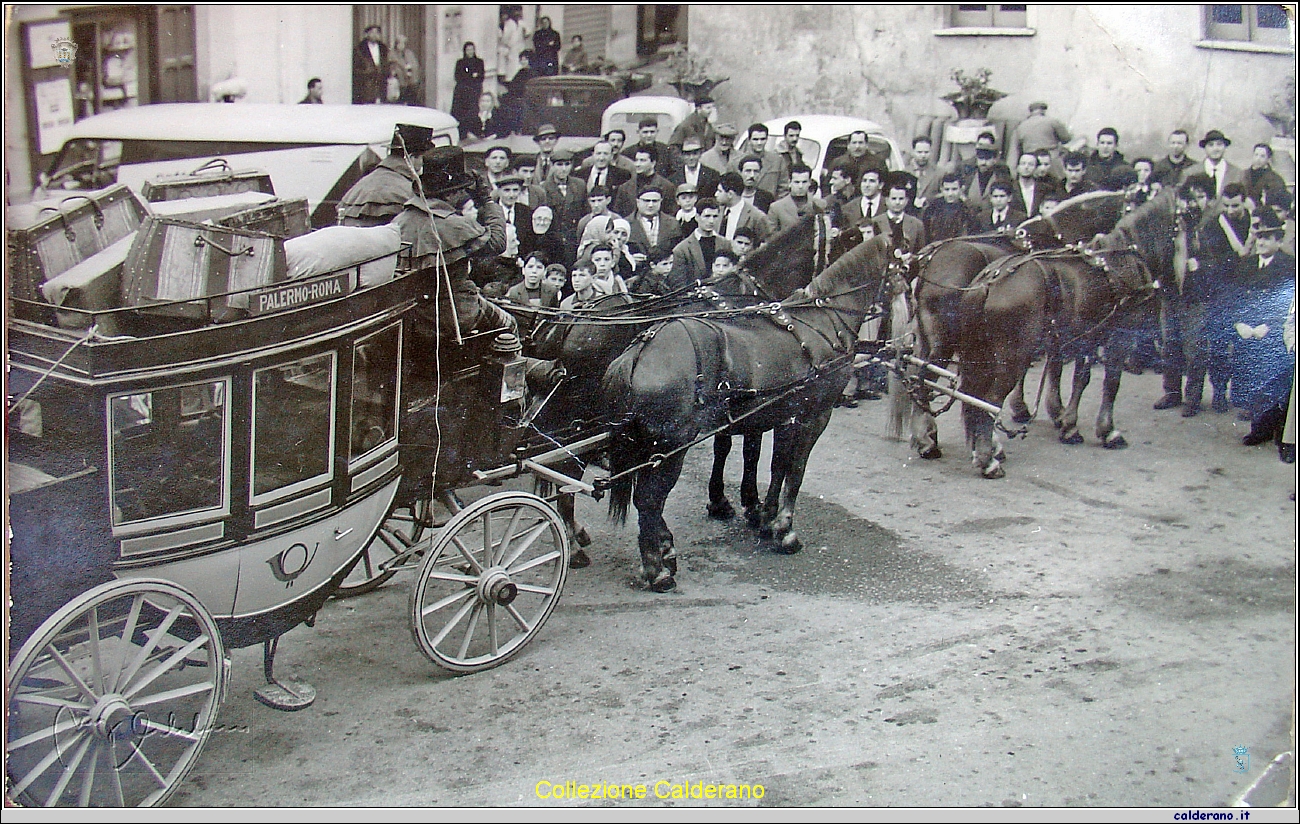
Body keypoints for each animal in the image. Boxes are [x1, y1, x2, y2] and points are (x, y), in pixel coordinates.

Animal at [600, 233, 894, 587]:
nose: (889, 319)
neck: (821, 320)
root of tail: (640, 349)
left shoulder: (783, 418)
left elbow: (777, 467)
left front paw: (765, 519)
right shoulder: (814, 416)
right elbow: (795, 472)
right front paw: (785, 531)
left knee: (648, 503)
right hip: (670, 447)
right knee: (649, 500)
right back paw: (657, 570)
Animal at [956, 188, 1180, 475]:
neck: (1118, 262)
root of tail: (989, 280)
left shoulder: (1083, 337)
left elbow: (1077, 378)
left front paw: (1066, 422)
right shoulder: (1119, 337)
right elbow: (1110, 382)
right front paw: (1106, 430)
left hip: (982, 354)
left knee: (972, 397)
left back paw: (982, 450)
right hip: (1012, 356)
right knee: (989, 400)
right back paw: (989, 460)